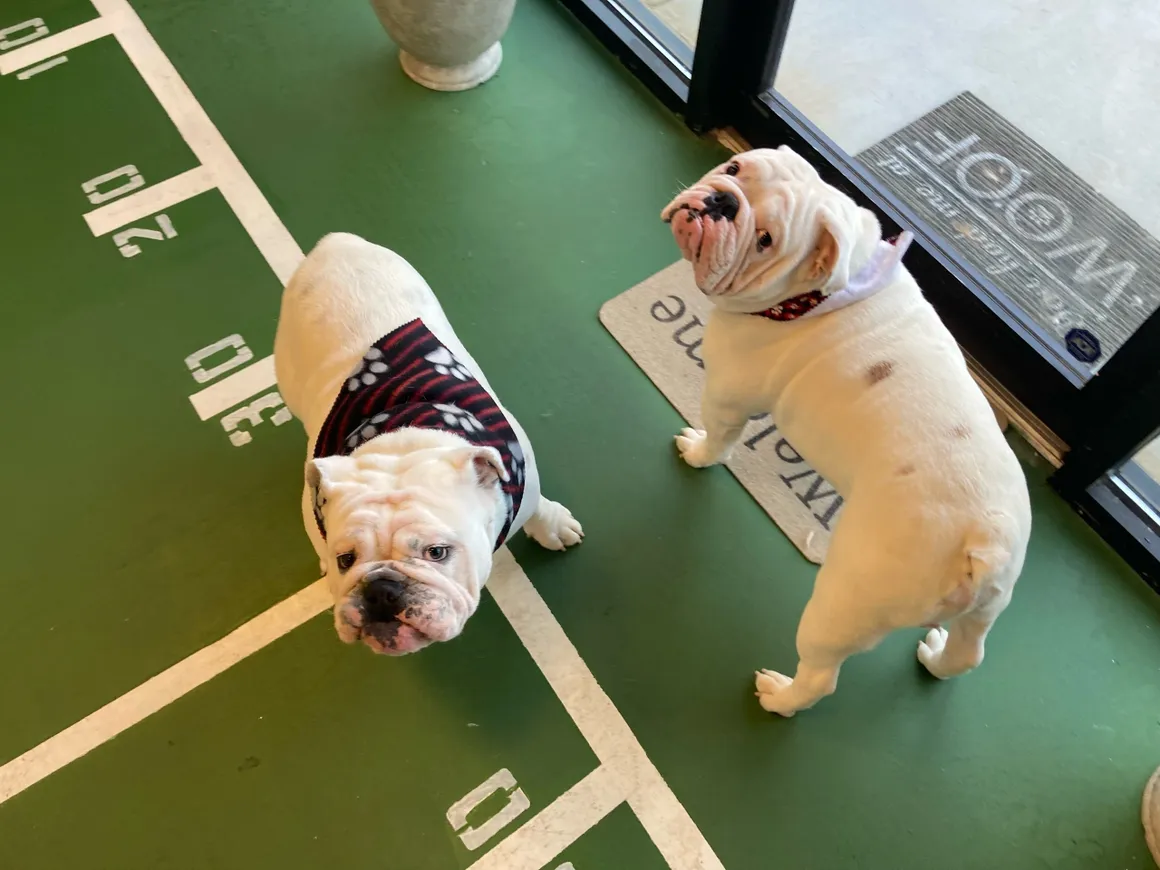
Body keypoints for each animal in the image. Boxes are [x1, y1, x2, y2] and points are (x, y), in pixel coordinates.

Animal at [274, 232, 583, 655]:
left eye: (437, 553)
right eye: (345, 560)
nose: (381, 589)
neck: (400, 440)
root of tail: (334, 242)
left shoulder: (525, 477)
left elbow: (537, 506)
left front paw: (553, 525)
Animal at [662, 147, 1031, 716]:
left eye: (765, 239)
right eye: (735, 169)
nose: (723, 201)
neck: (821, 289)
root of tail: (983, 540)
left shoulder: (726, 391)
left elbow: (720, 437)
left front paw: (699, 452)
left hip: (844, 601)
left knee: (821, 675)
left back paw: (780, 696)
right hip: (986, 606)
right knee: (969, 653)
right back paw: (936, 658)